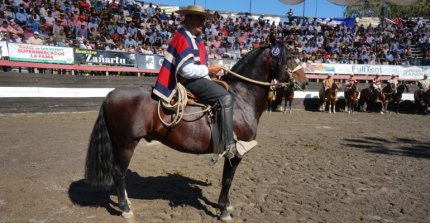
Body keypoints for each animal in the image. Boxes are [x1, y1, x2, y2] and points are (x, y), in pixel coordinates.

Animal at [84, 44, 308, 222]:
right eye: (289, 56)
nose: (305, 81)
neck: (241, 99)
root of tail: (111, 94)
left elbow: (227, 179)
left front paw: (225, 205)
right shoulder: (235, 152)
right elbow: (228, 180)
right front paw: (224, 211)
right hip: (126, 144)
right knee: (118, 173)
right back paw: (125, 209)